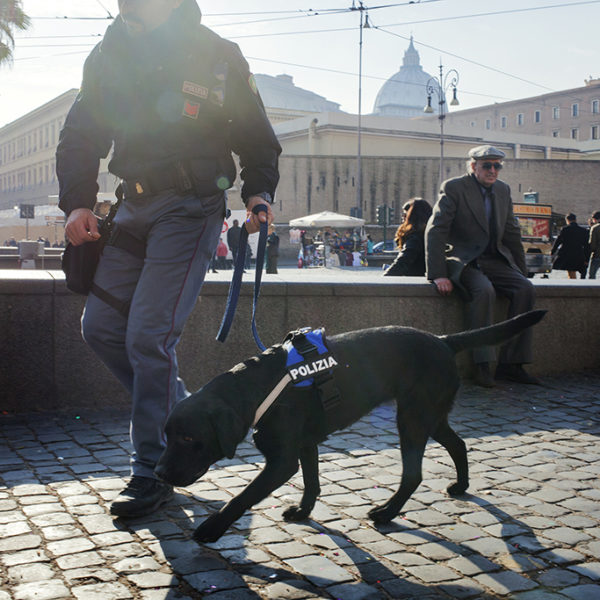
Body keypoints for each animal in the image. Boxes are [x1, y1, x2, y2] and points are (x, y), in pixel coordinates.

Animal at [155, 312, 544, 540]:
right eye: (167, 436)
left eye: (188, 438)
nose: (158, 473)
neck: (258, 390)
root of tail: (443, 340)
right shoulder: (305, 446)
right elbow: (312, 482)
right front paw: (304, 511)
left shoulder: (282, 461)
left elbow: (243, 496)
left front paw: (212, 528)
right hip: (431, 416)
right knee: (458, 444)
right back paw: (461, 486)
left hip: (413, 418)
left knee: (413, 474)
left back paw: (387, 512)